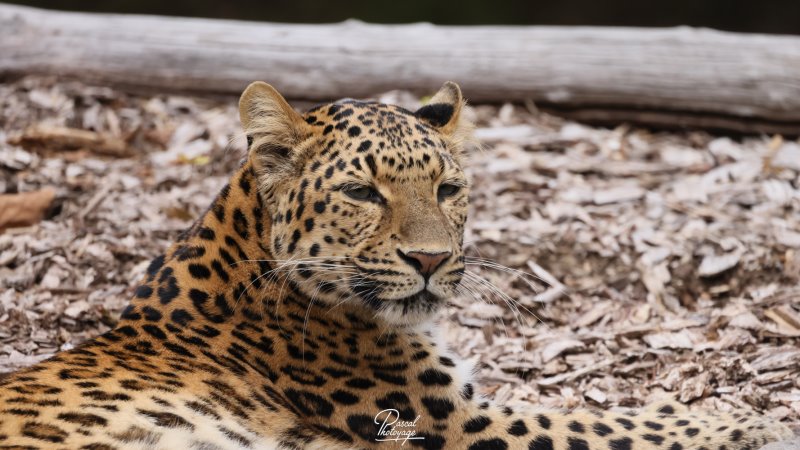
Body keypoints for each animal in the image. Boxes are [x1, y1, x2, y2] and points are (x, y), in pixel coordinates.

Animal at [0, 81, 794, 450]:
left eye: (447, 188)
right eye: (361, 192)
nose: (431, 258)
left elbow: (601, 408)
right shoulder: (455, 423)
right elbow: (604, 422)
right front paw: (735, 420)